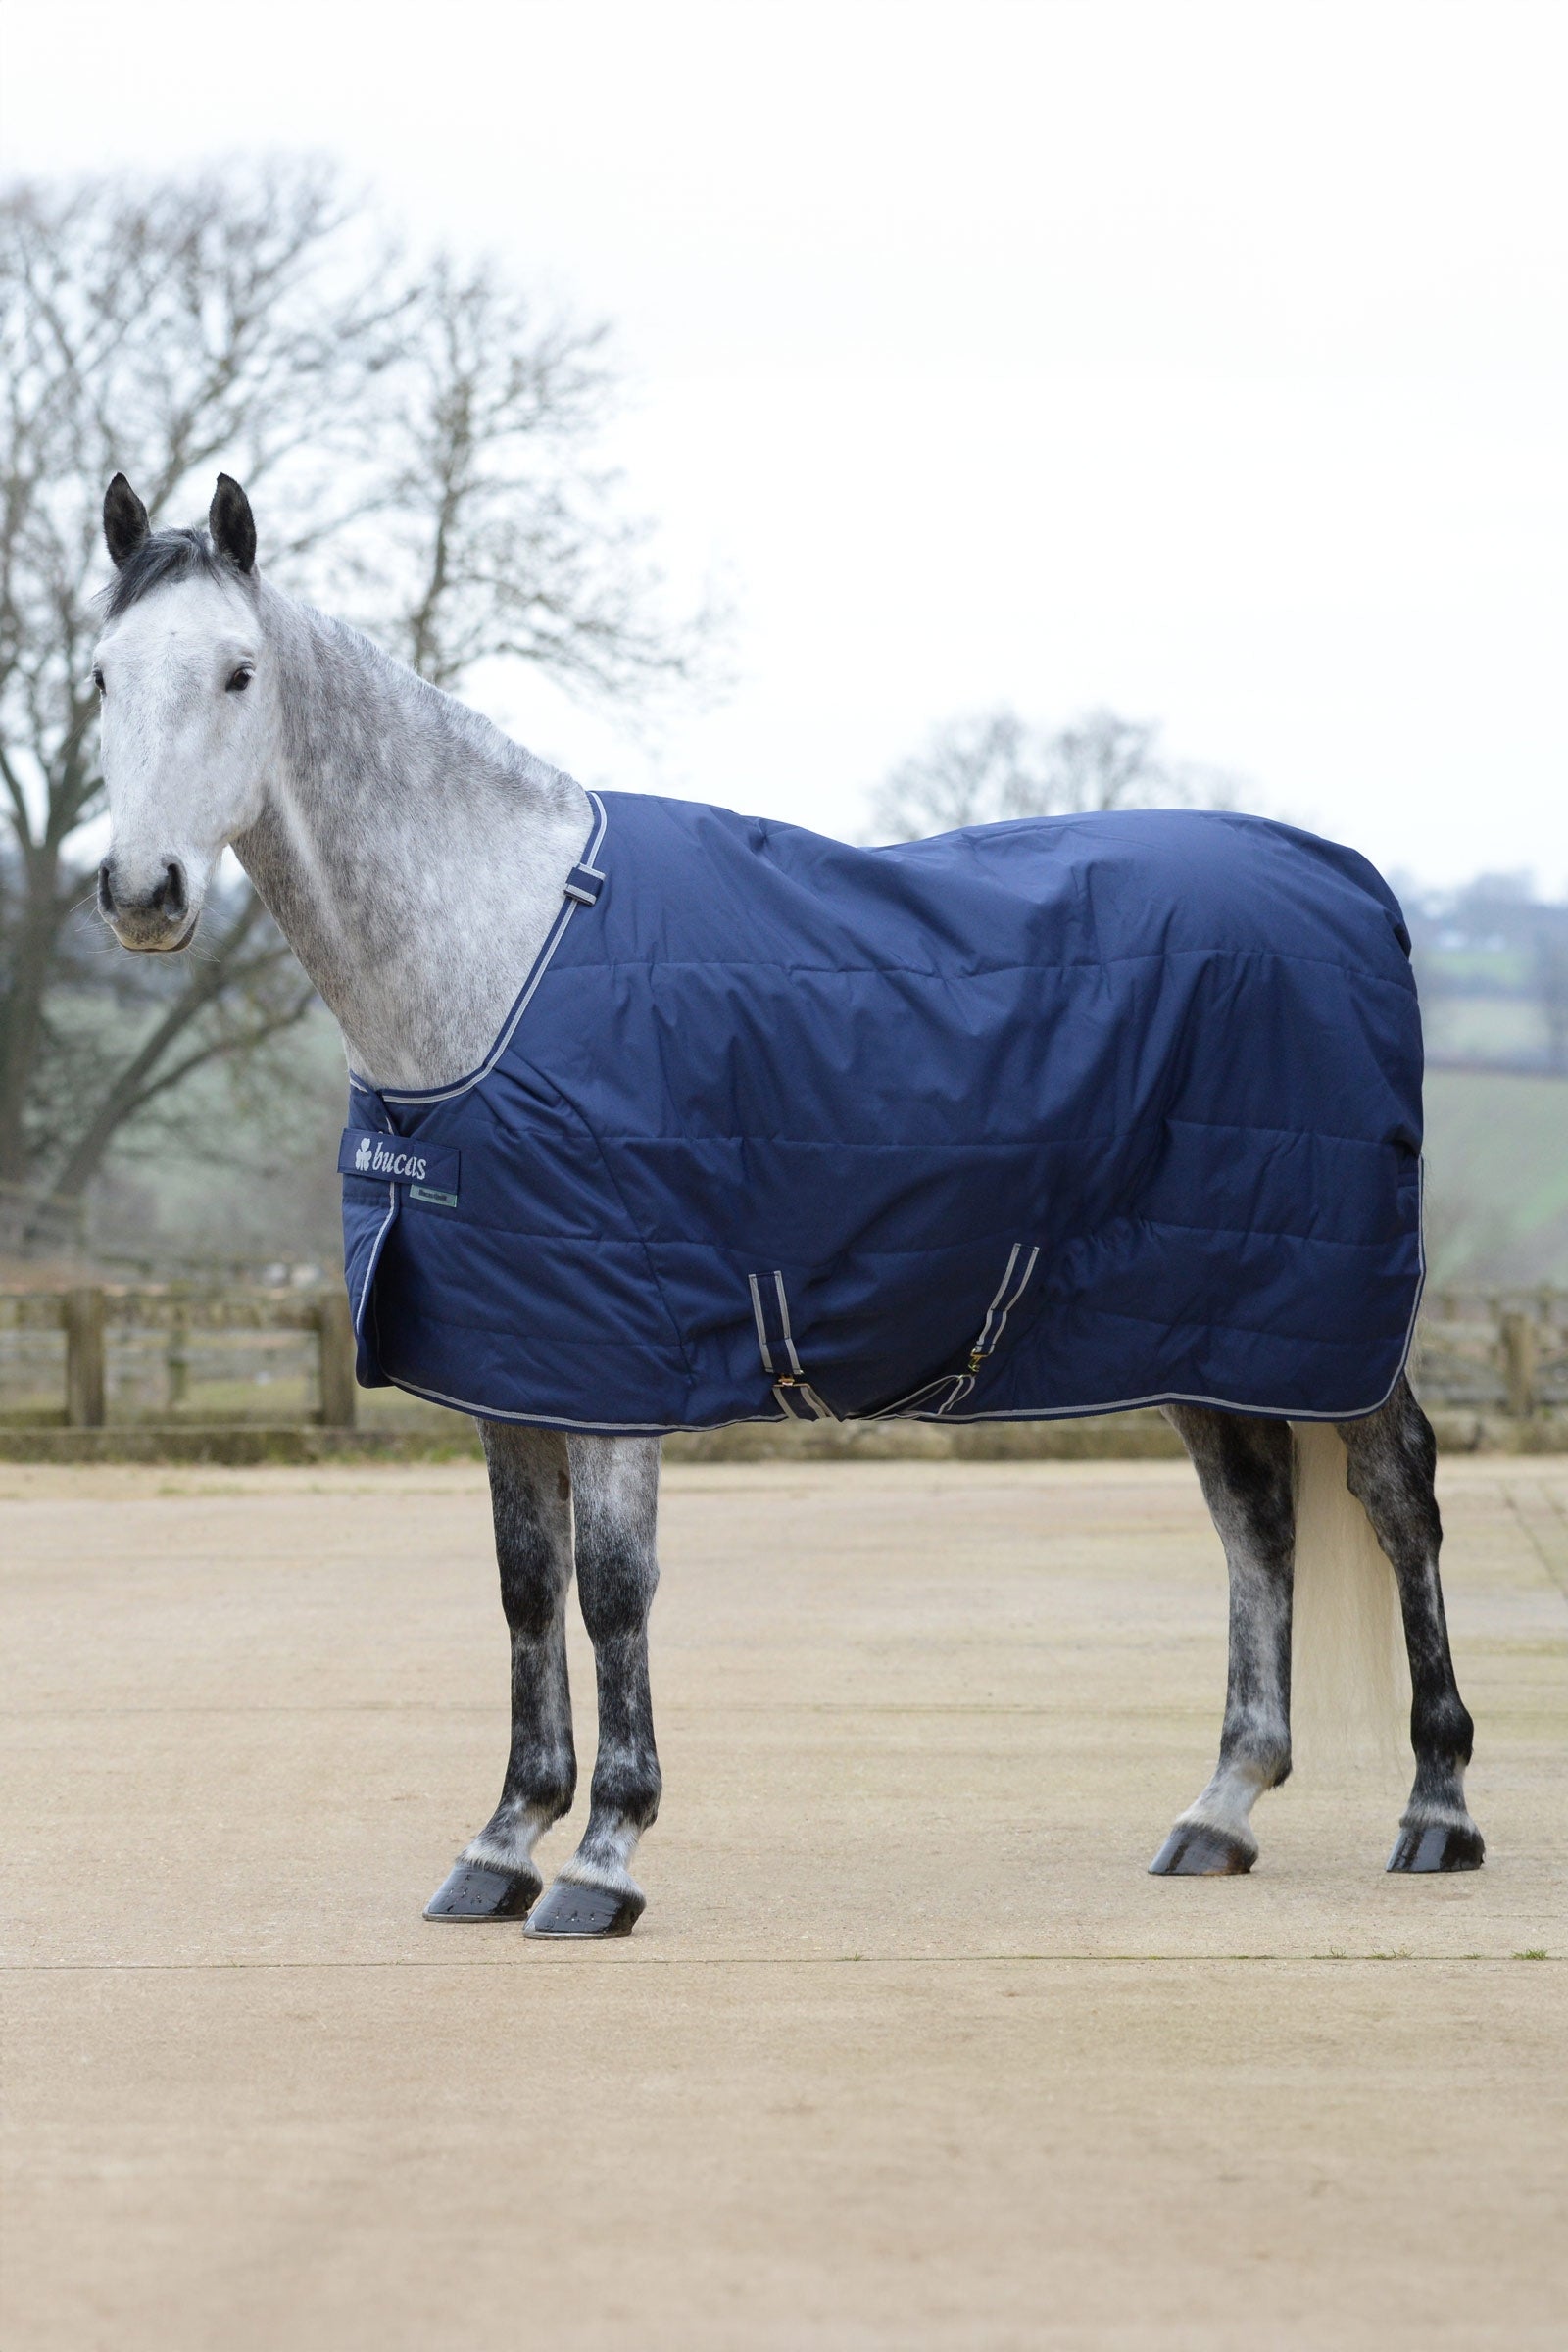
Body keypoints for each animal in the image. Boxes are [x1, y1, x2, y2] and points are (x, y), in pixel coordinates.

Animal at [89, 471, 1484, 1938]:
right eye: (104, 673)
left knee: (1397, 1497)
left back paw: (1436, 1808)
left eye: (238, 673)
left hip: (1328, 1318)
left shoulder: (616, 1366)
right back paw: (1220, 1810)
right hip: (1203, 1326)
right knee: (1256, 1523)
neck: (502, 959)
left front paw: (603, 1858)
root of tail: (1354, 885)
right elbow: (527, 1593)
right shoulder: (510, 1361)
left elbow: (612, 1593)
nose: (141, 895)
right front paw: (503, 1842)